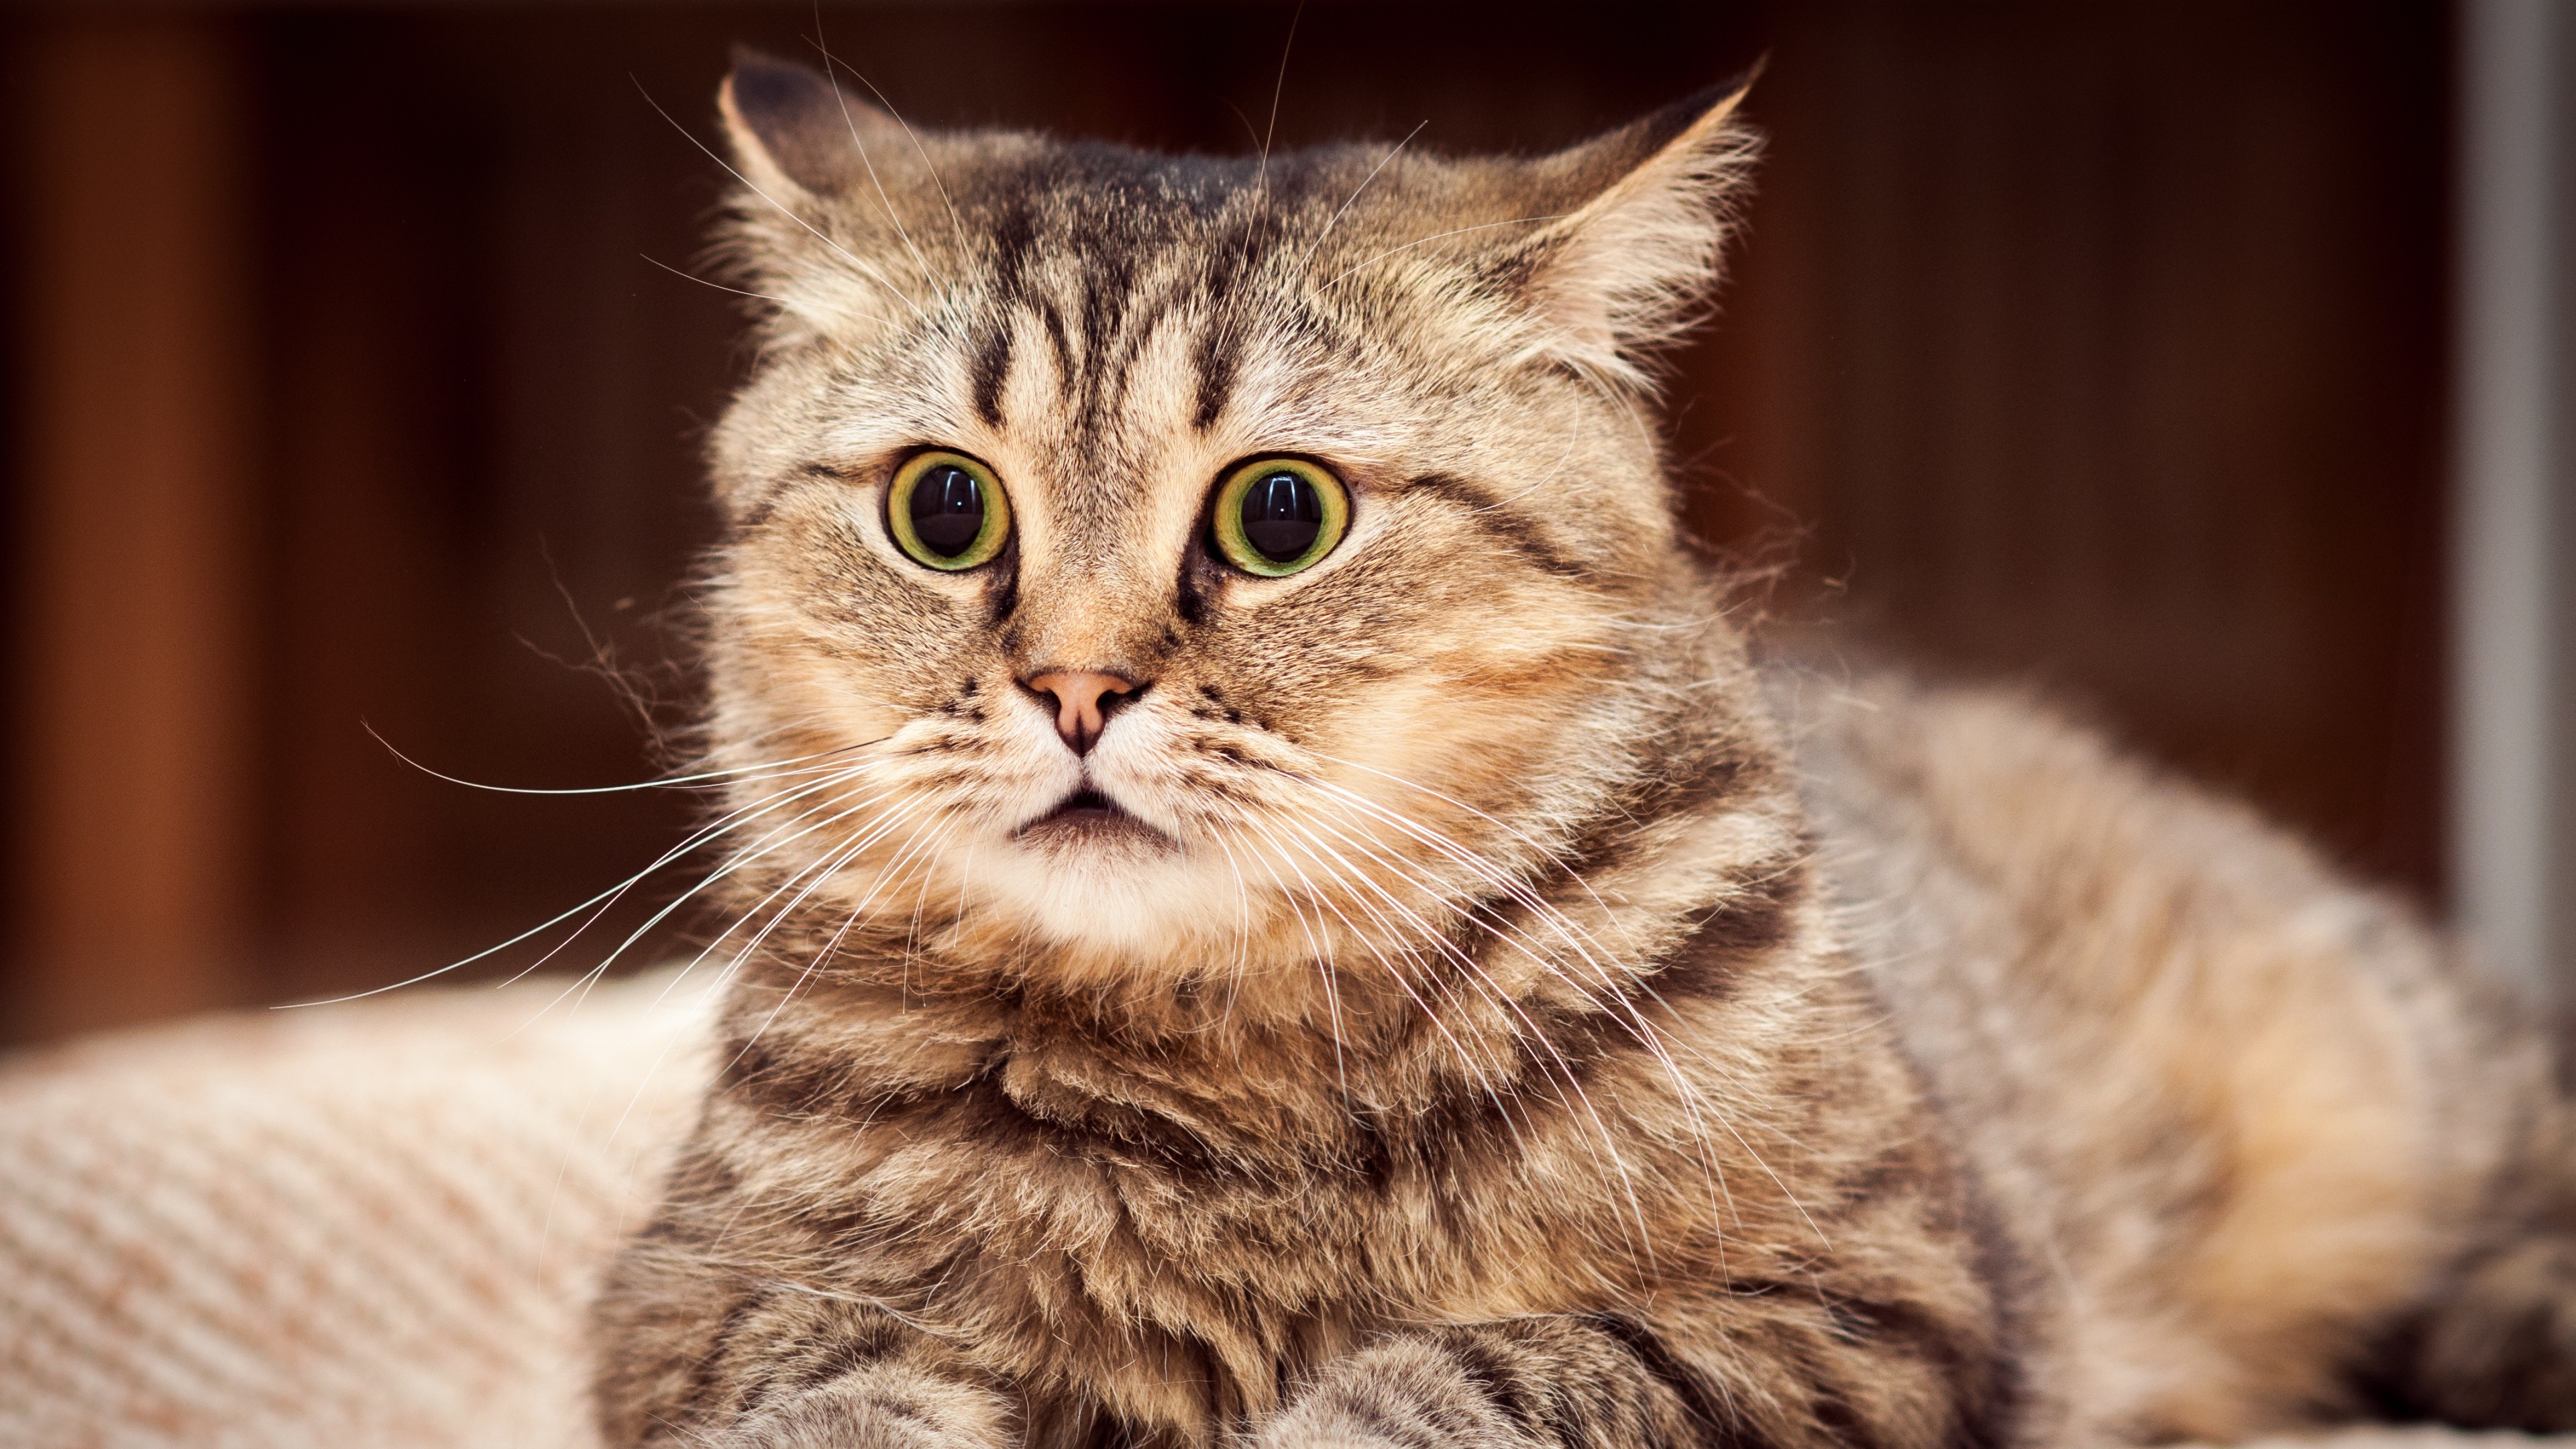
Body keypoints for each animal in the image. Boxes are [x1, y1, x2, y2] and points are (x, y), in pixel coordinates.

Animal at [590, 48, 2576, 1444]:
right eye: (943, 510)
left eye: (1279, 516)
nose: (1076, 688)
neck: (1217, 1064)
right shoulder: (678, 1304)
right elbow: (821, 1386)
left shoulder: (1866, 1304)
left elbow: (1480, 1372)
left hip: (2391, 1067)